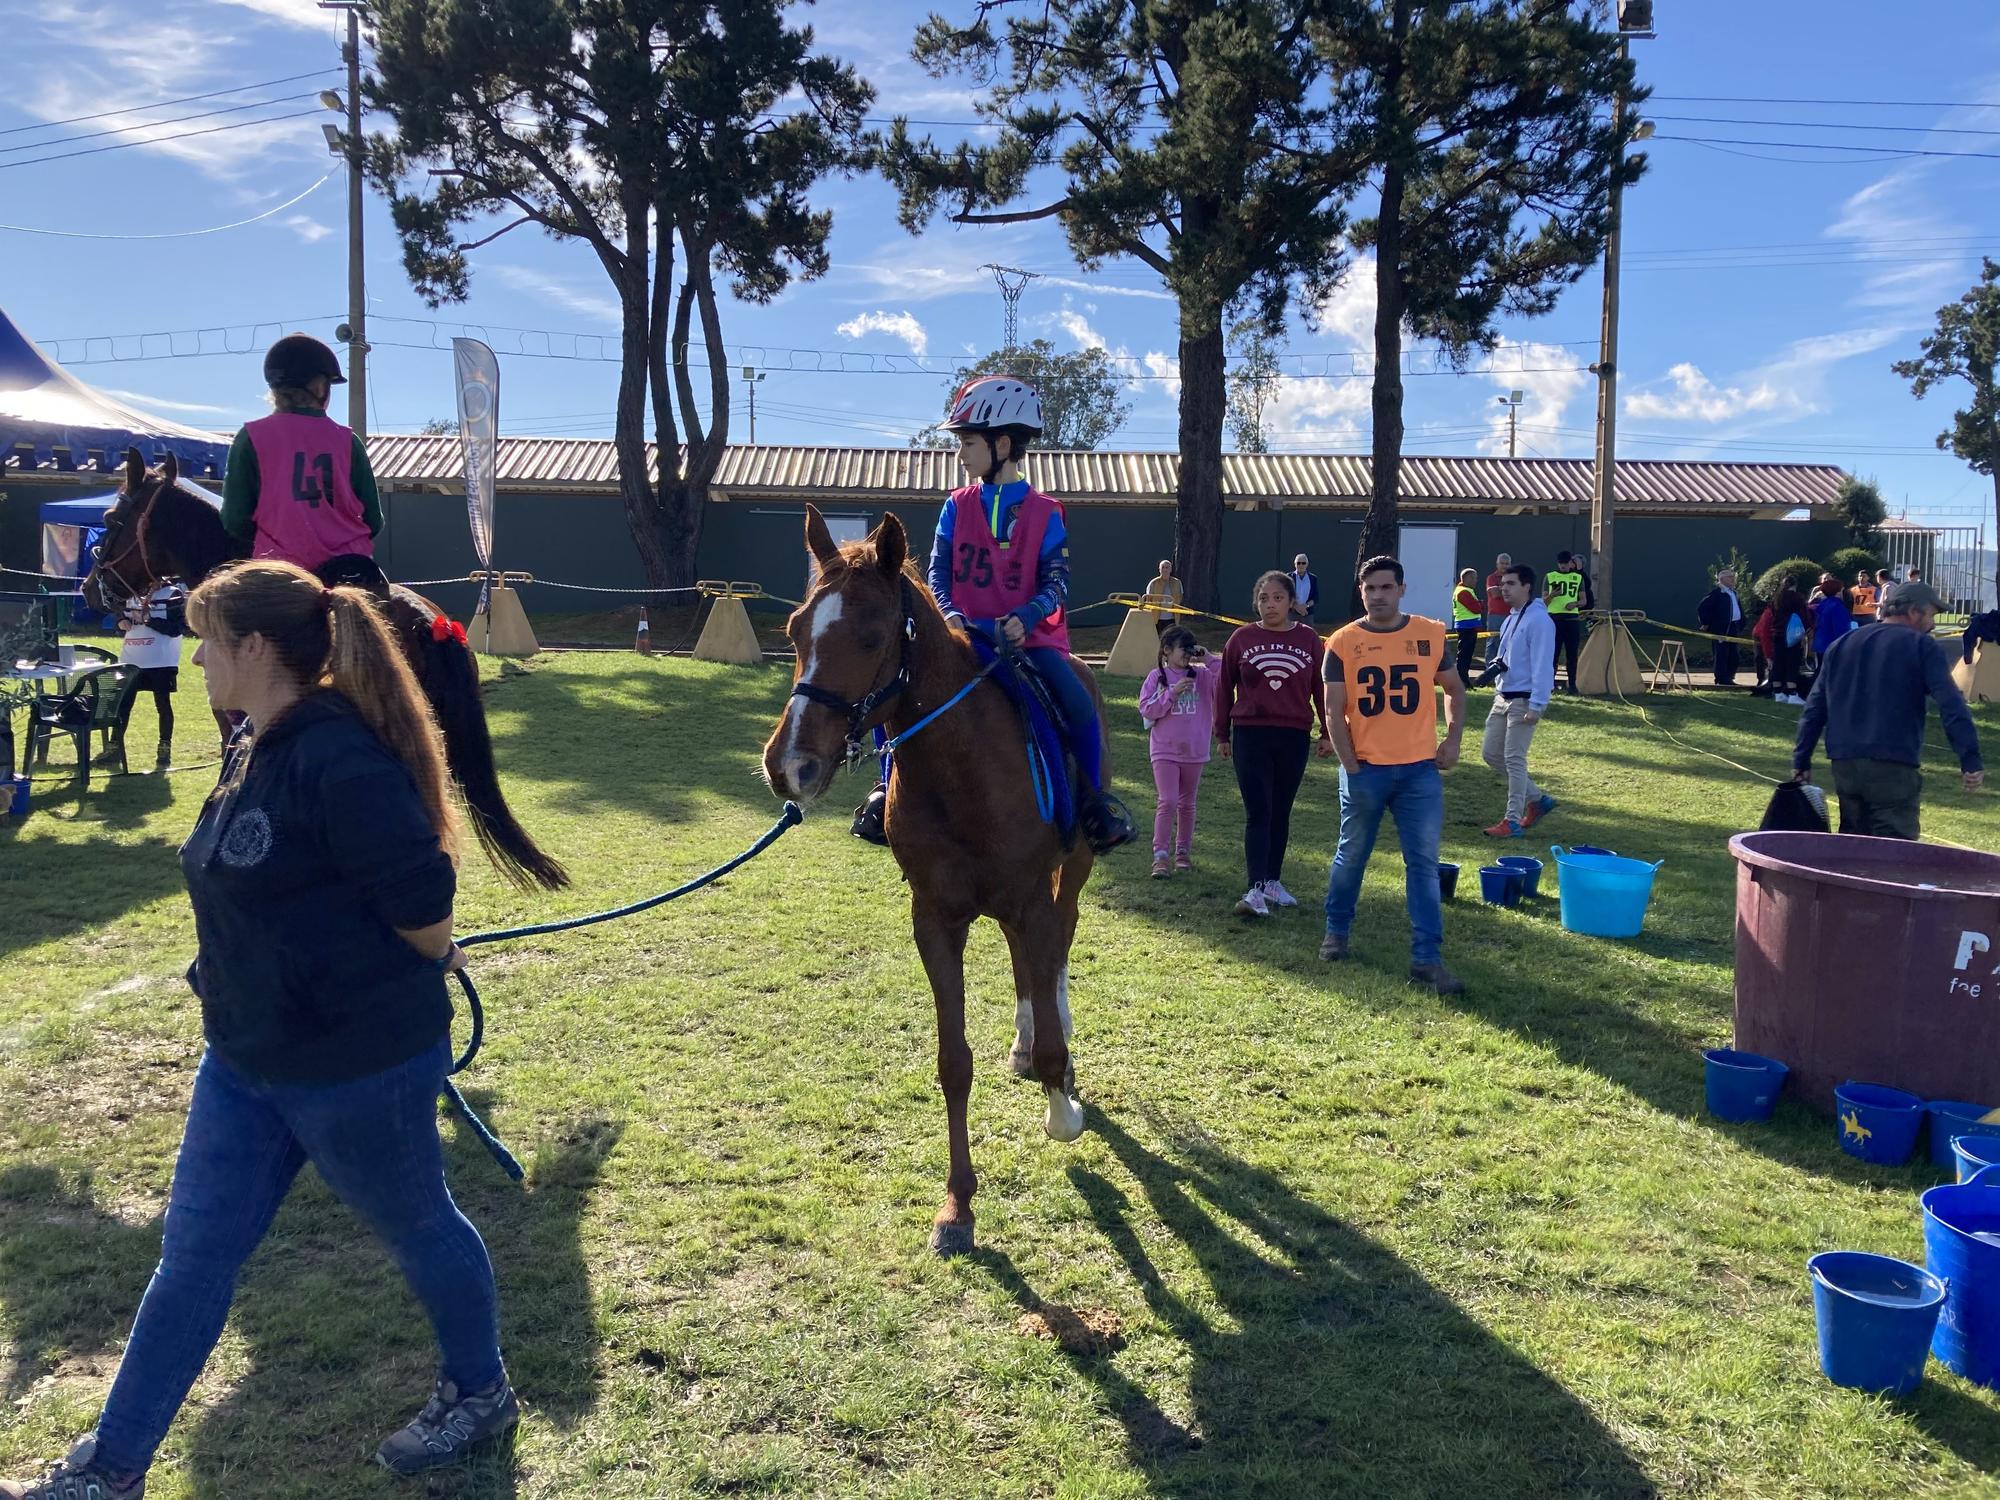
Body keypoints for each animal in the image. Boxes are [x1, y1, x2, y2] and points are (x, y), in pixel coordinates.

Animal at [756, 512, 1096, 1264]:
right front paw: (958, 1208)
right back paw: (1024, 1041)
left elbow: (1048, 980)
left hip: (1074, 869)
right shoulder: (935, 918)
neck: (962, 769)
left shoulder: (1031, 898)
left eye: (871, 636)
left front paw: (1062, 1108)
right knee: (1027, 964)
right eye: (794, 631)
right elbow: (953, 1062)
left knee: (1057, 947)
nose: (791, 765)